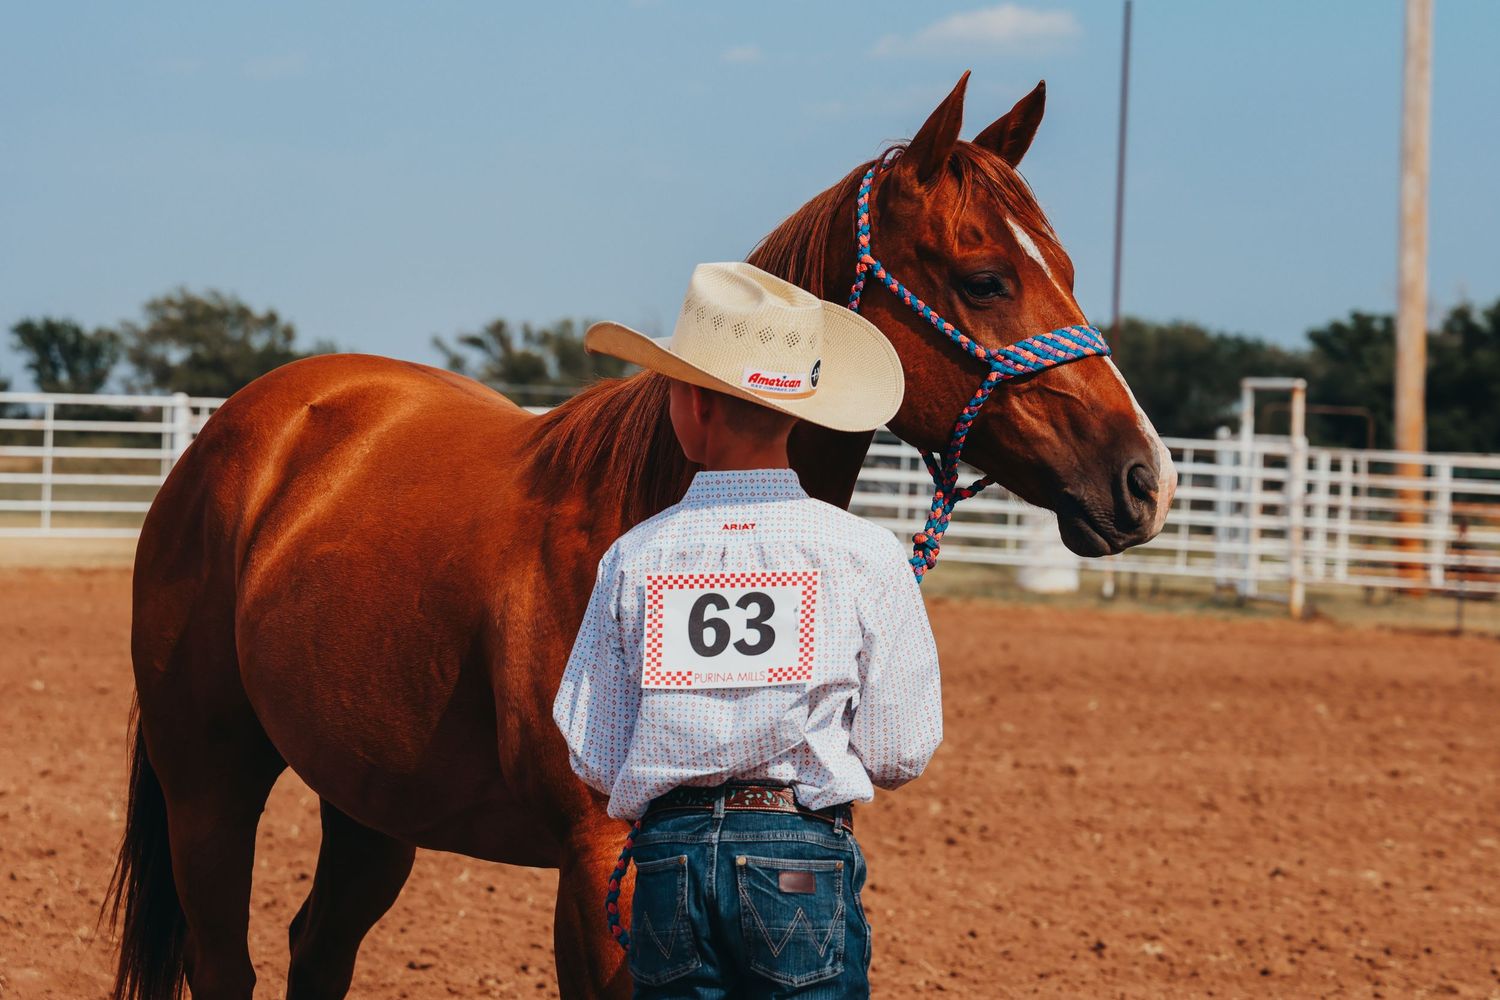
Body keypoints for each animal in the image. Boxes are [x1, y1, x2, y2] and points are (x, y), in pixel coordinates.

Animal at [107, 73, 1176, 1000]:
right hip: (208, 779)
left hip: (368, 801)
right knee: (227, 962)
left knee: (317, 948)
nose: (1146, 478)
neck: (678, 508)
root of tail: (242, 429)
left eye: (1067, 271)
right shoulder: (600, 865)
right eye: (986, 279)